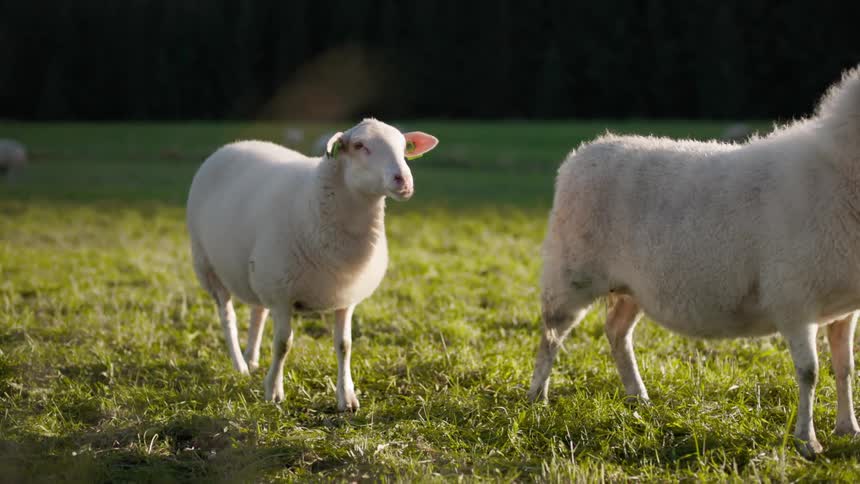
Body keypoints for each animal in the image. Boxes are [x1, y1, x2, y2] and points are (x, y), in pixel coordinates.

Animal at [187, 119, 438, 410]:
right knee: (227, 316)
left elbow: (344, 345)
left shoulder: (345, 296)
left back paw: (251, 359)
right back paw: (240, 365)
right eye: (359, 145)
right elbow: (283, 344)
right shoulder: (282, 294)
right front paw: (274, 392)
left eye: (403, 147)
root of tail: (234, 145)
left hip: (258, 272)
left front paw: (346, 397)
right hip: (208, 266)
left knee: (257, 312)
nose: (403, 180)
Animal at [527, 65, 860, 459]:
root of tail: (584, 152)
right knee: (551, 335)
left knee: (616, 332)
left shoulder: (843, 308)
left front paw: (848, 429)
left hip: (630, 287)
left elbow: (845, 368)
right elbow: (809, 372)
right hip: (571, 275)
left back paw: (638, 398)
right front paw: (807, 441)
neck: (840, 172)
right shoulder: (794, 300)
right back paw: (537, 398)